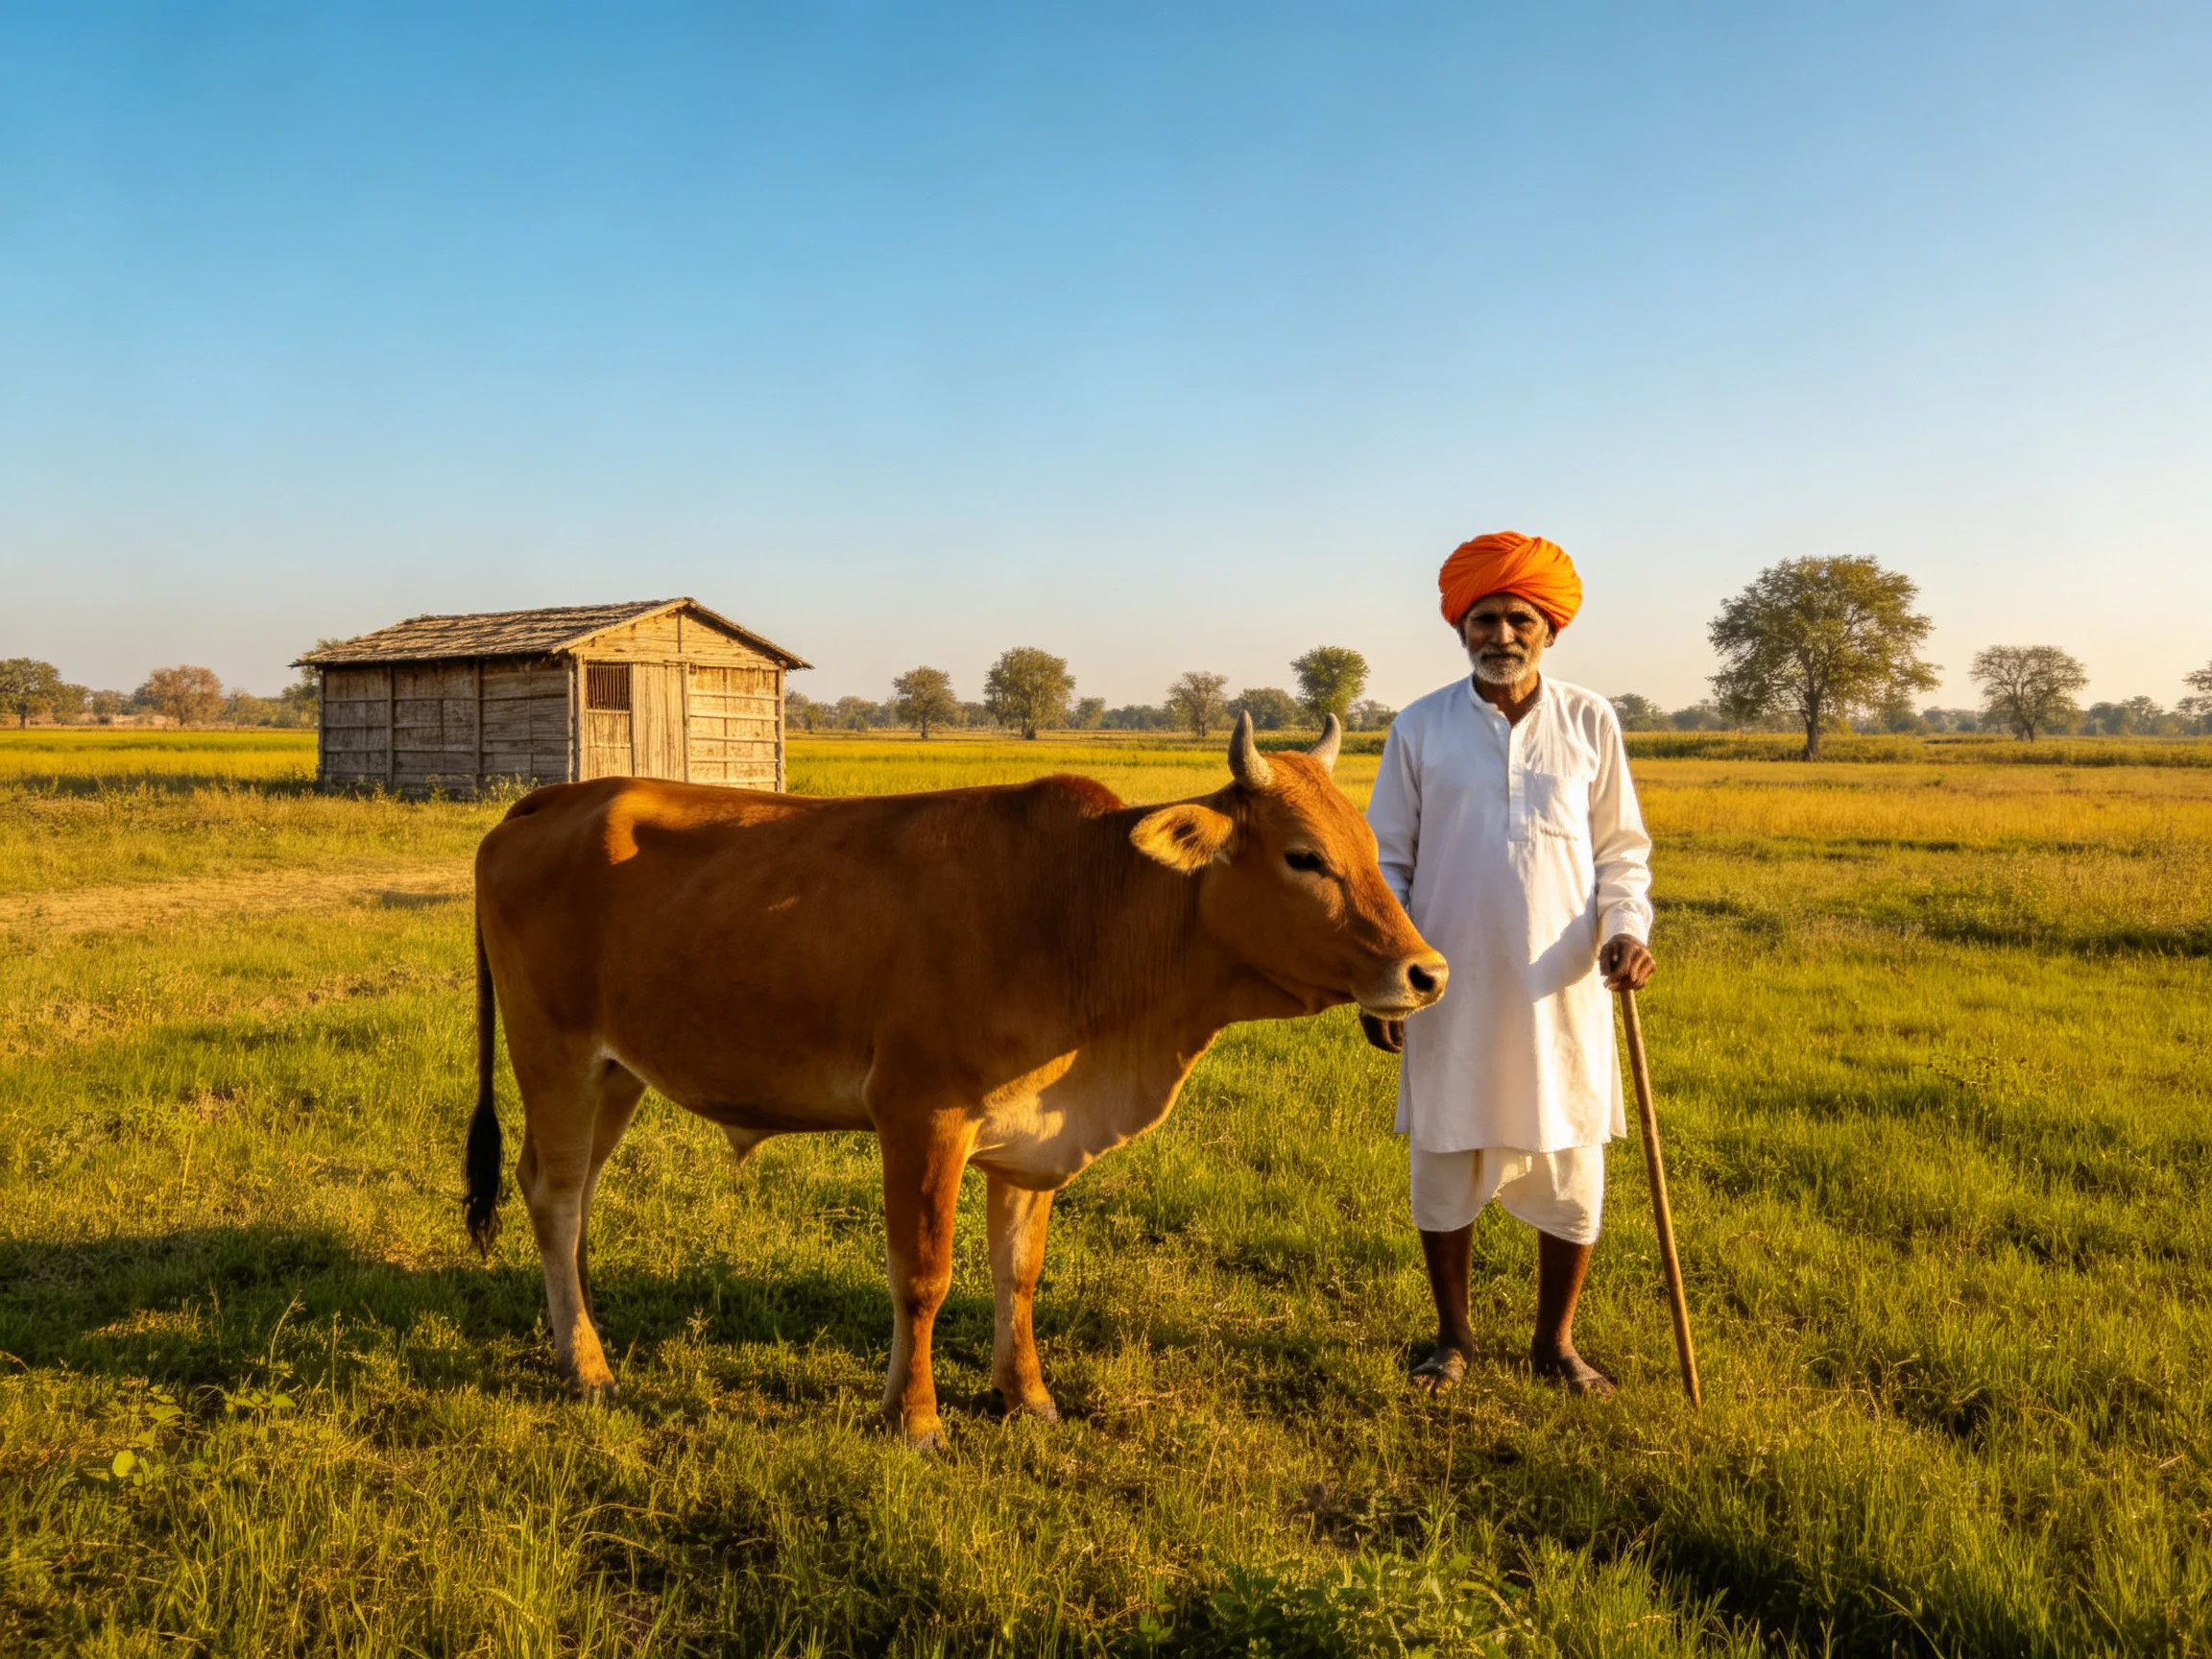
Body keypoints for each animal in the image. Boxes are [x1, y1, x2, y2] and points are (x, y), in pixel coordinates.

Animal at [464, 713, 1446, 1446]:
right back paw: (587, 1366)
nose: (1427, 972)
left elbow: (1019, 1273)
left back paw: (576, 1329)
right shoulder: (921, 1116)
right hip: (555, 1053)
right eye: (1304, 856)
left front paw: (1028, 1396)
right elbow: (923, 1275)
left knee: (570, 1192)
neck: (1084, 908)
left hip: (615, 1072)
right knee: (553, 1195)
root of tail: (552, 799)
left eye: (1371, 845)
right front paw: (916, 1418)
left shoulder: (1030, 1139)